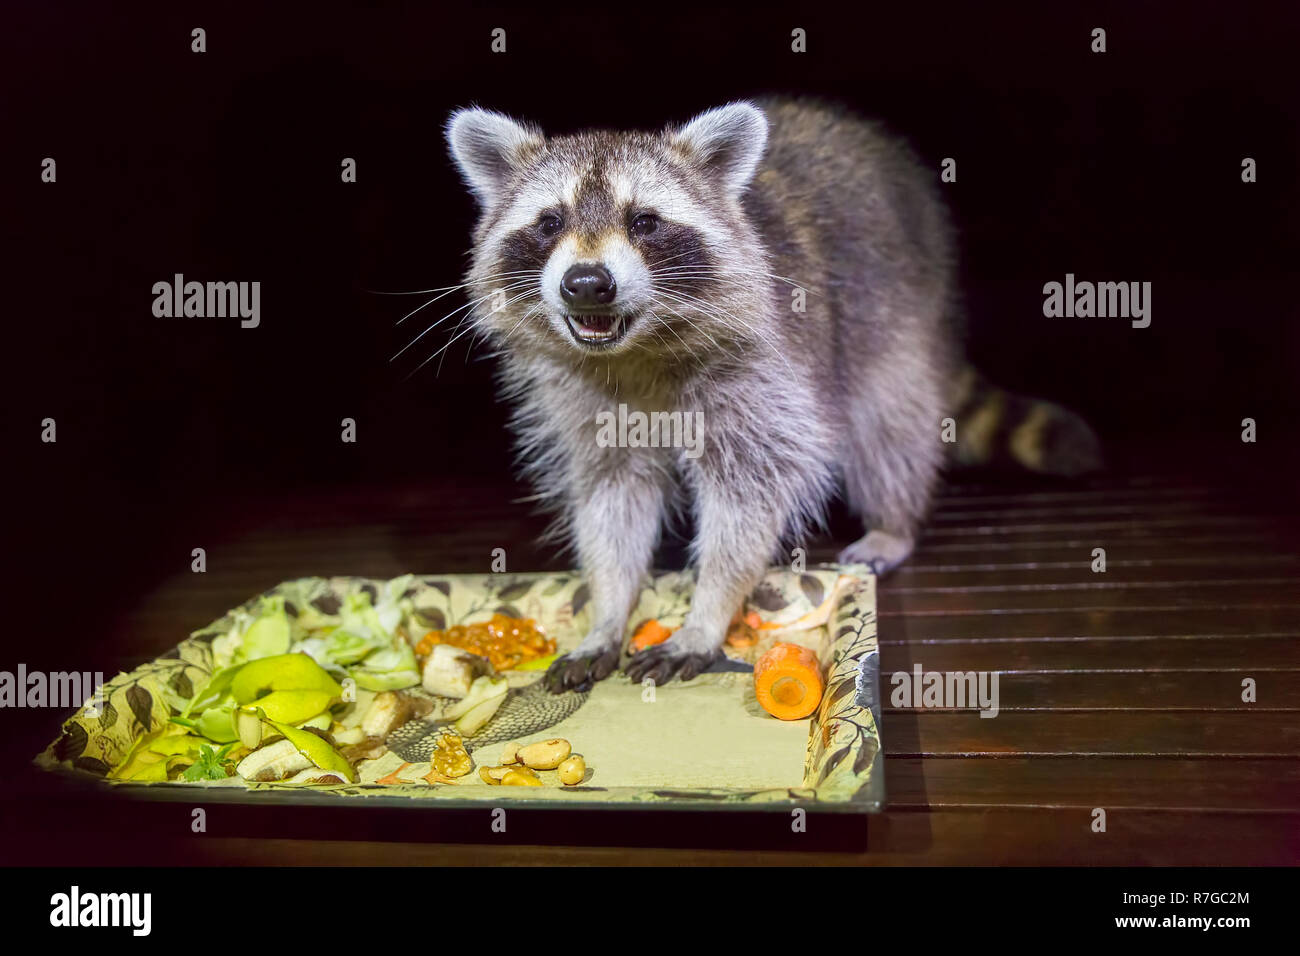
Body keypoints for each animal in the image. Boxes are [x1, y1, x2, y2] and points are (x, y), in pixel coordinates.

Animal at [447, 97, 1097, 691]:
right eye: (550, 223)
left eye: (645, 223)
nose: (586, 284)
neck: (636, 349)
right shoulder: (585, 399)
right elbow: (613, 496)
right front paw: (609, 607)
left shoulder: (762, 370)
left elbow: (752, 492)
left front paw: (709, 610)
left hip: (895, 306)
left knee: (890, 422)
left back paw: (894, 521)